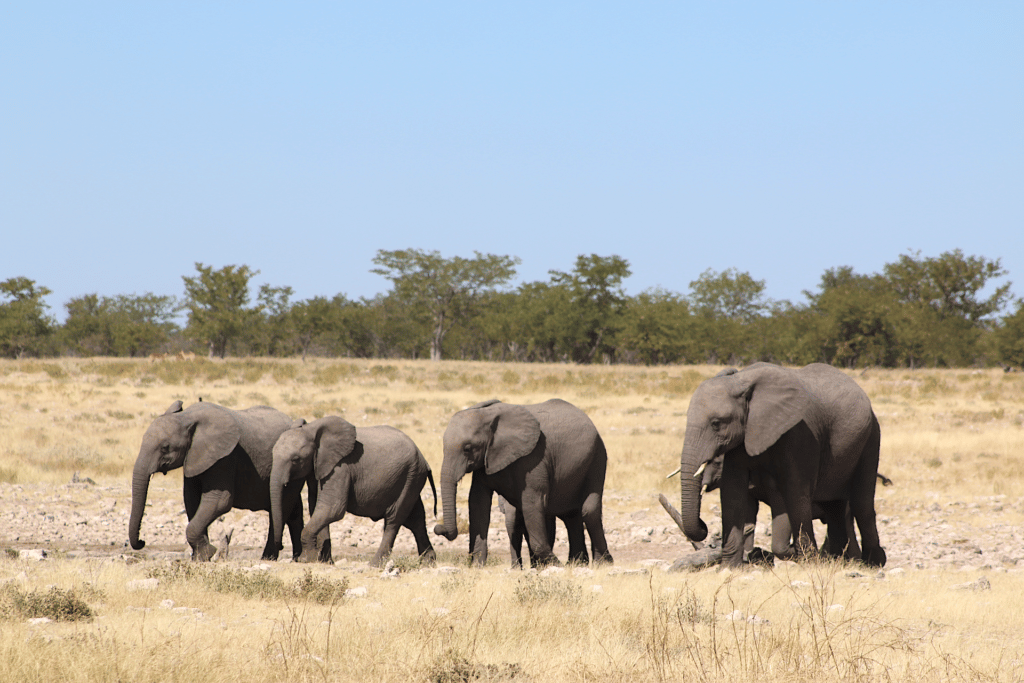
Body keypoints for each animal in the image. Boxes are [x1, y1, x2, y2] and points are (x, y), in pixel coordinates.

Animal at [125, 401, 307, 561]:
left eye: (165, 448)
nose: (141, 542)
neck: (187, 417)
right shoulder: (194, 458)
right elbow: (192, 501)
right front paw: (199, 558)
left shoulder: (224, 457)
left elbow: (219, 501)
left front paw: (207, 553)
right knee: (293, 512)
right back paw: (297, 558)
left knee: (282, 509)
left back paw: (268, 558)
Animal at [268, 417, 436, 565]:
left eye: (296, 459)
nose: (281, 546)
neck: (312, 430)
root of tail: (424, 460)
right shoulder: (318, 469)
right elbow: (317, 507)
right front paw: (325, 562)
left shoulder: (340, 468)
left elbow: (332, 509)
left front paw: (305, 560)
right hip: (411, 478)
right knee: (416, 519)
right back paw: (428, 563)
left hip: (410, 475)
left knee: (394, 520)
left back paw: (374, 564)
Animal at [430, 397, 606, 569]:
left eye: (467, 448)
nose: (438, 527)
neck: (489, 415)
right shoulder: (485, 461)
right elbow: (478, 502)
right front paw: (477, 567)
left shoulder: (534, 458)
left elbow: (532, 503)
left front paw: (556, 565)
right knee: (570, 515)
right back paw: (577, 564)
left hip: (597, 457)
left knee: (589, 510)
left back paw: (601, 563)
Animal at [675, 366, 884, 569]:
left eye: (716, 423)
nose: (703, 526)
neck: (743, 381)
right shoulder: (742, 439)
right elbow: (732, 494)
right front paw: (730, 567)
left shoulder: (799, 434)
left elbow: (794, 493)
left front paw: (806, 560)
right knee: (836, 508)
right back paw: (836, 560)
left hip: (871, 436)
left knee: (861, 504)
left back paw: (871, 562)